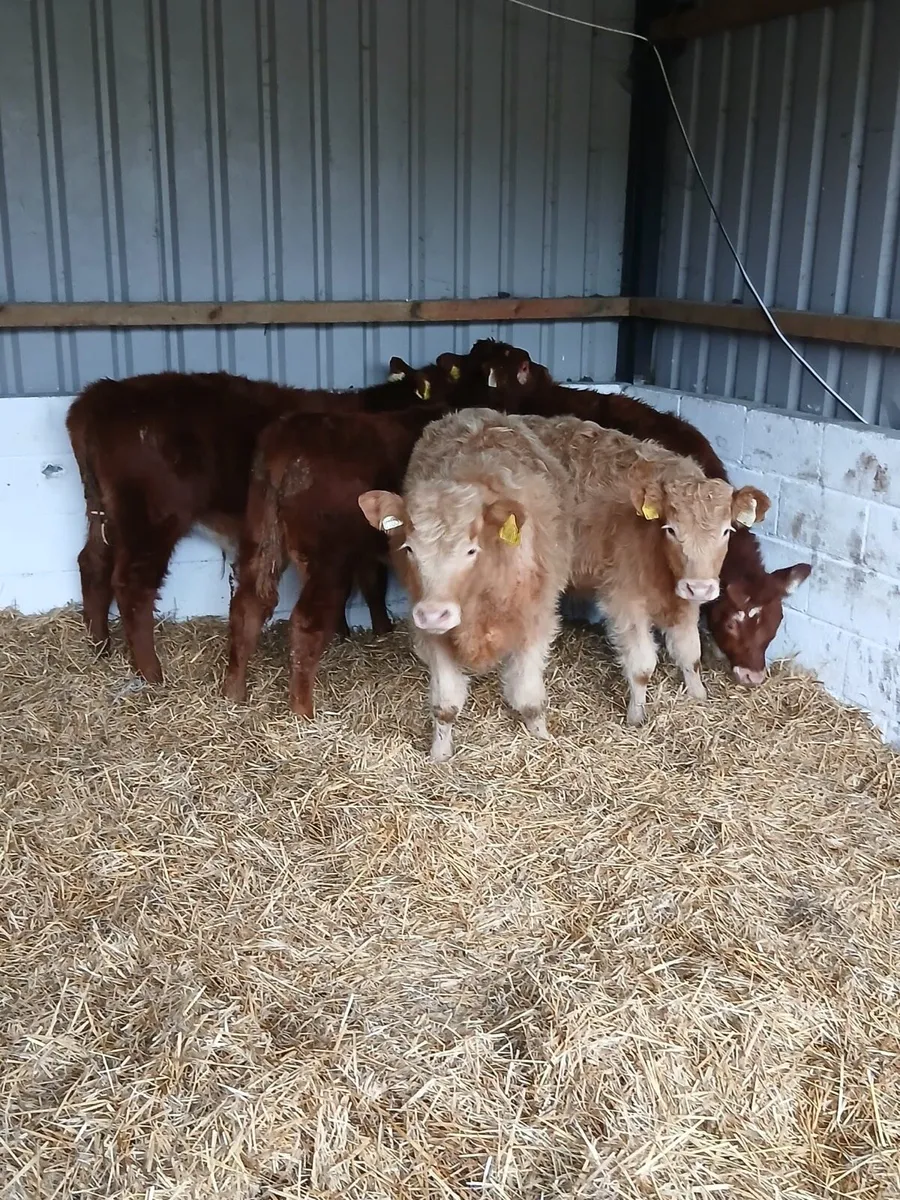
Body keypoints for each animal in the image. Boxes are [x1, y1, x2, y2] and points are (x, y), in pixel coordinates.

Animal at [66, 363, 448, 684]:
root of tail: (100, 395)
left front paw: (355, 630)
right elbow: (371, 581)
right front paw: (373, 629)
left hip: (104, 512)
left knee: (93, 564)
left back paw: (100, 646)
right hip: (151, 518)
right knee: (132, 585)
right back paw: (151, 674)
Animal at [223, 403, 455, 717]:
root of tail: (291, 431)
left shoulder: (368, 551)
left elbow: (373, 587)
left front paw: (382, 631)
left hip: (258, 535)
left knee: (246, 607)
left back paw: (233, 693)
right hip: (328, 559)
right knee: (306, 622)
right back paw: (302, 710)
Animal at [358, 408, 573, 762]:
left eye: (471, 550)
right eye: (410, 549)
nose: (434, 614)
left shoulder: (536, 621)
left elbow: (529, 698)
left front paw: (542, 739)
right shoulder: (432, 635)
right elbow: (445, 705)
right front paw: (439, 754)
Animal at [522, 415, 771, 724]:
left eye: (726, 531)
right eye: (672, 529)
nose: (700, 587)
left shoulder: (685, 601)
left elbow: (691, 655)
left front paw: (698, 696)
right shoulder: (624, 600)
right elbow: (642, 667)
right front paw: (636, 715)